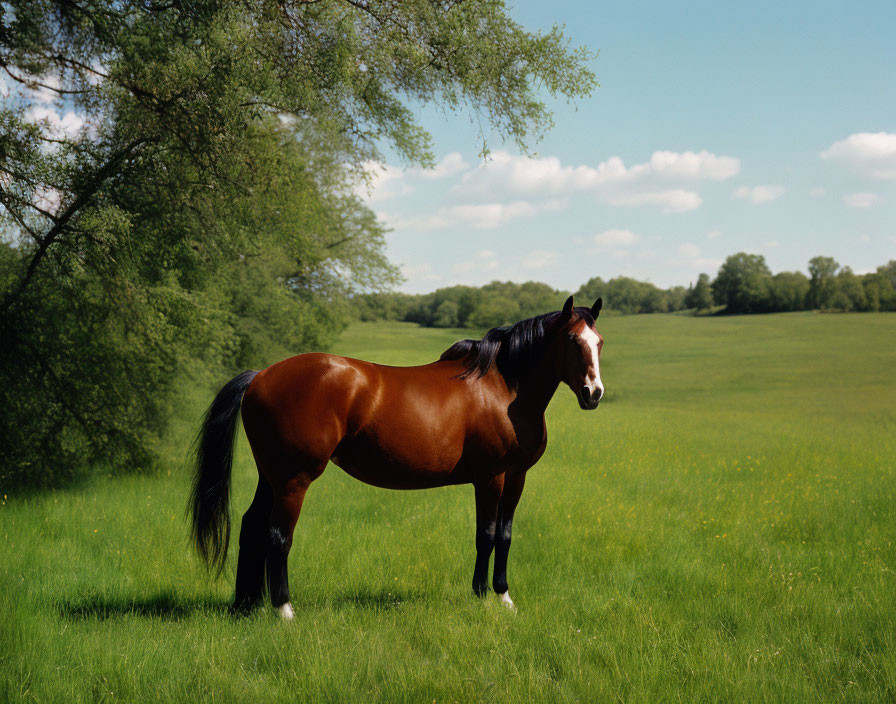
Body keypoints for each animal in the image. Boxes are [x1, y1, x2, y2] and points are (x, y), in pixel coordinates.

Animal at [188, 292, 600, 616]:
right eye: (570, 339)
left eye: (598, 342)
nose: (593, 393)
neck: (503, 388)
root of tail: (260, 376)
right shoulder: (491, 478)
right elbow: (485, 534)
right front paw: (484, 595)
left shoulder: (516, 477)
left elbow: (505, 534)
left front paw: (504, 596)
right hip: (293, 480)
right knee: (277, 535)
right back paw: (284, 610)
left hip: (270, 477)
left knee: (252, 526)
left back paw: (247, 605)